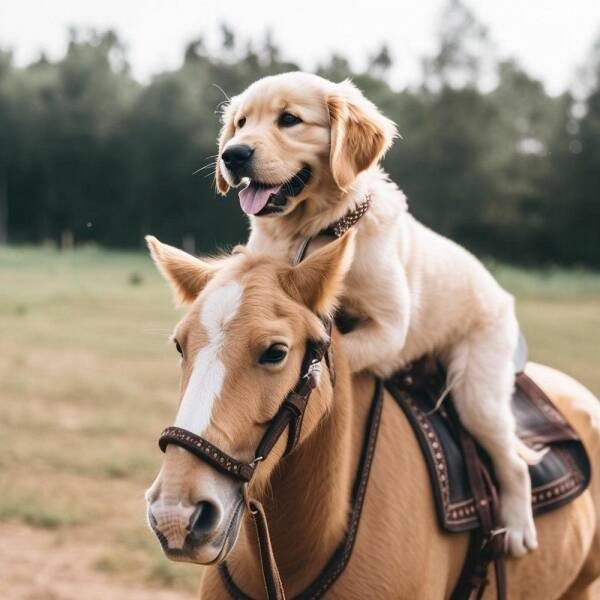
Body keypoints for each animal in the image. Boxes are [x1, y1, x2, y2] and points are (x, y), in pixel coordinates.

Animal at [216, 71, 540, 556]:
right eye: (240, 123)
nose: (232, 155)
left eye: (289, 119)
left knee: (513, 462)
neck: (313, 234)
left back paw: (519, 529)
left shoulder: (390, 328)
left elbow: (341, 349)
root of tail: (503, 296)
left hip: (476, 392)